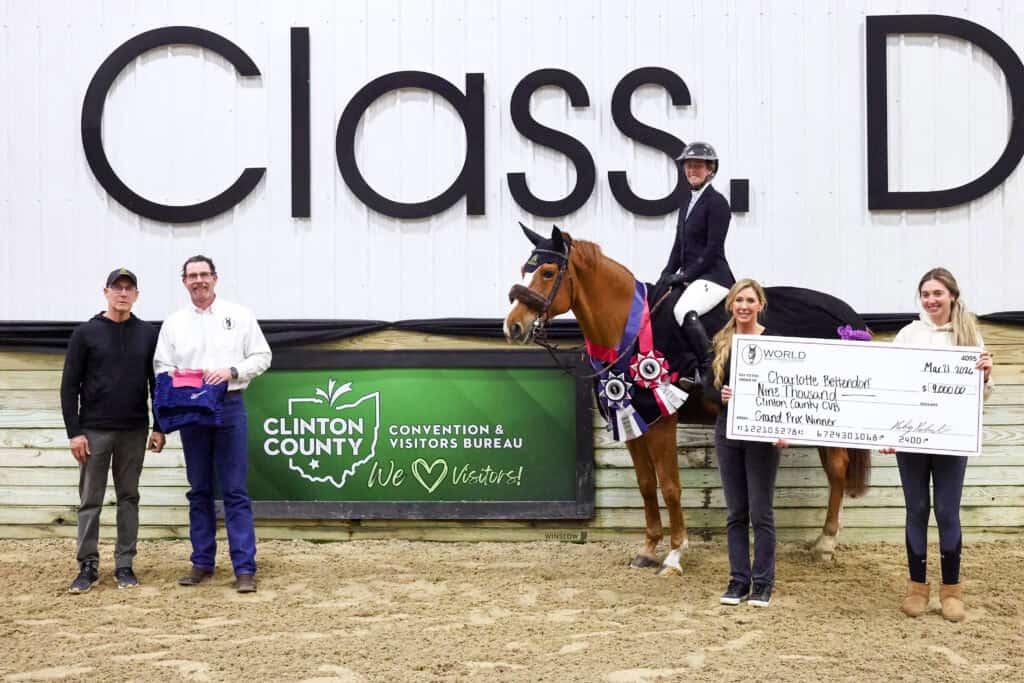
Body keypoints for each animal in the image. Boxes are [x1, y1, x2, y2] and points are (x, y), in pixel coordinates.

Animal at [504, 224, 870, 575]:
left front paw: (674, 555)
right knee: (834, 470)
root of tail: (846, 318)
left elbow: (669, 486)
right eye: (525, 269)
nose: (513, 327)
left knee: (837, 469)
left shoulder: (663, 418)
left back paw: (826, 544)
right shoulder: (632, 417)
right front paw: (647, 550)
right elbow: (646, 484)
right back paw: (821, 542)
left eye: (548, 272)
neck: (628, 329)